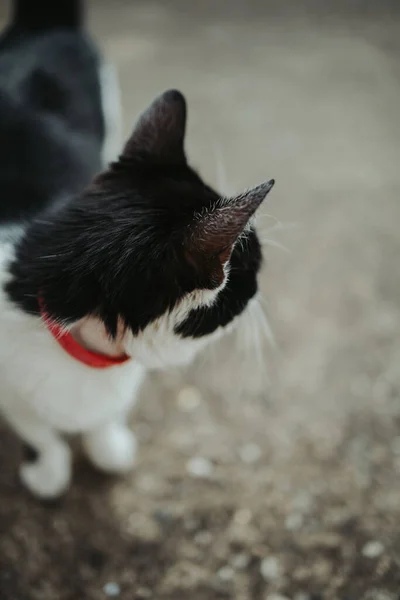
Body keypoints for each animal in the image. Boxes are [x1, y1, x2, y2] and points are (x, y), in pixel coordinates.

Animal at [0, 0, 276, 496]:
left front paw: (108, 447)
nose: (261, 287)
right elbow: (39, 431)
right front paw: (48, 473)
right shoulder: (12, 393)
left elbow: (104, 417)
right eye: (251, 270)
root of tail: (44, 26)